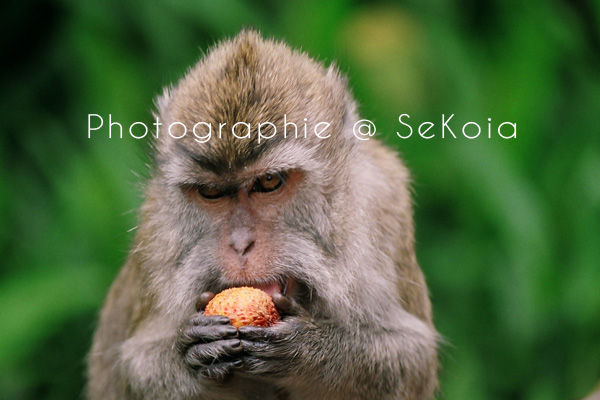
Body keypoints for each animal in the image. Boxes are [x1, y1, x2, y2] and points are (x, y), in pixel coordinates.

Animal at [84, 29, 438, 398]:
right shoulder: (157, 233)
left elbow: (412, 356)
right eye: (211, 192)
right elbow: (139, 367)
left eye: (268, 181)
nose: (241, 244)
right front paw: (197, 355)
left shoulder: (384, 204)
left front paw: (308, 351)